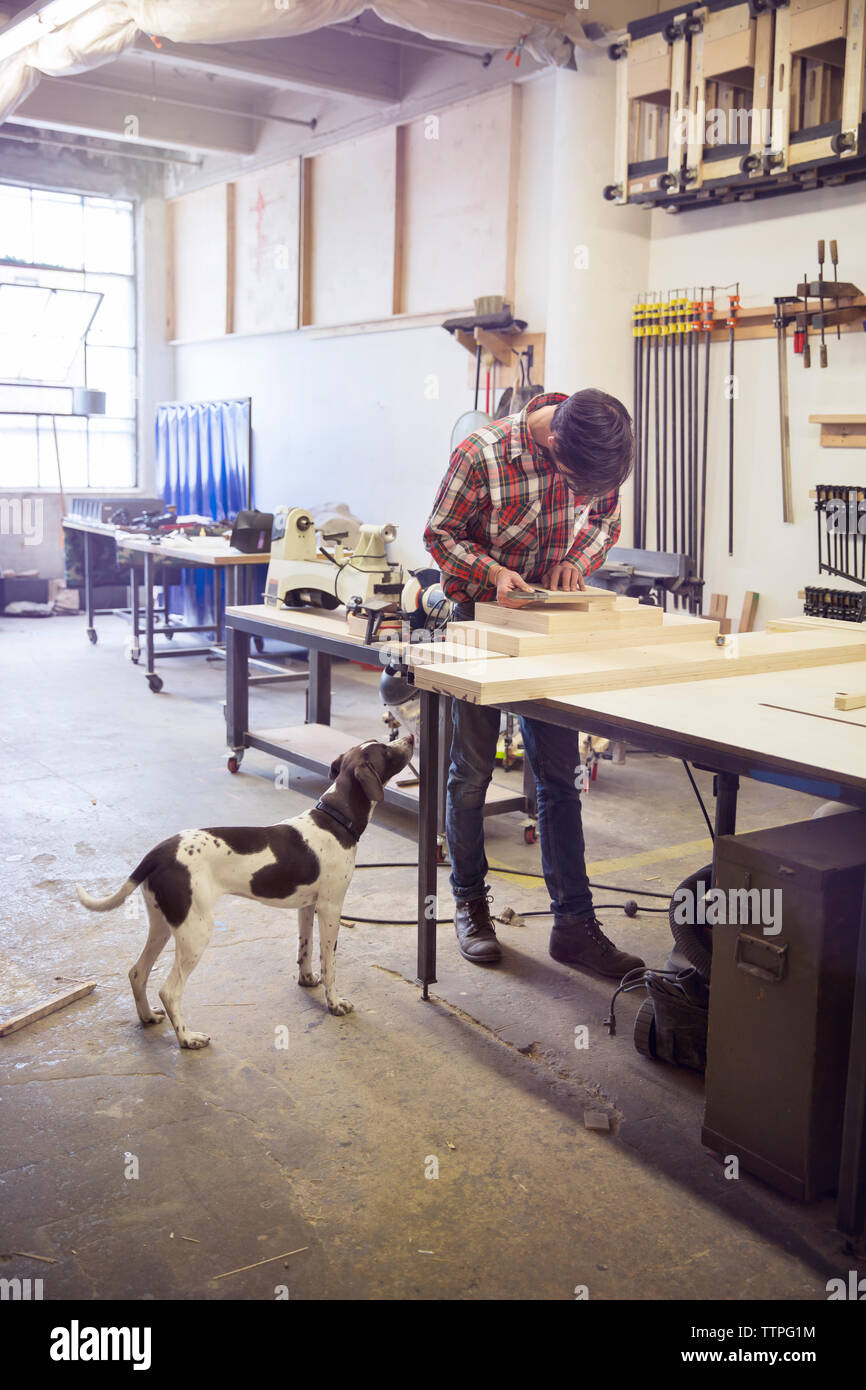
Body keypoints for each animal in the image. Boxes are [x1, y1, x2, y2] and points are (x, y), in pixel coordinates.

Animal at [76, 739, 414, 1045]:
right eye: (385, 750)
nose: (410, 738)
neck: (335, 819)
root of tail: (158, 852)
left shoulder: (307, 906)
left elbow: (304, 949)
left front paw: (306, 981)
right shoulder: (331, 908)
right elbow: (329, 963)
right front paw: (334, 1004)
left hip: (164, 924)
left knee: (137, 972)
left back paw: (147, 1017)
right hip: (195, 931)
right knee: (169, 990)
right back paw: (188, 1038)